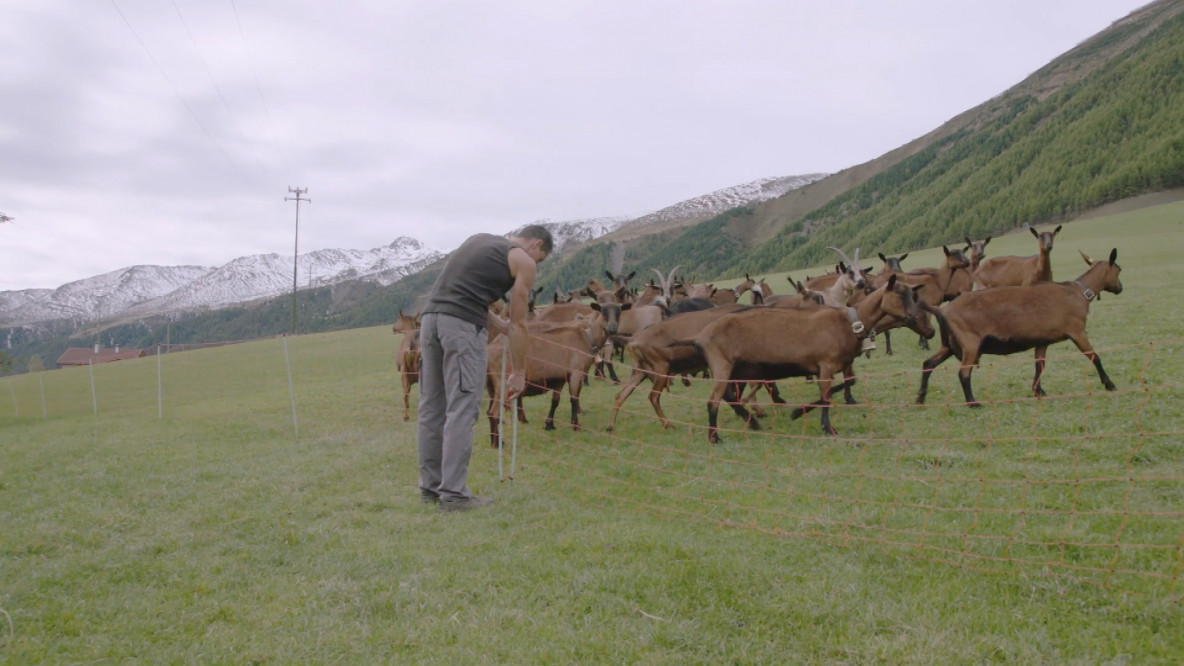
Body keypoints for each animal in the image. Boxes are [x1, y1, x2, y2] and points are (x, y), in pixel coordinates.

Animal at [918, 247, 1122, 405]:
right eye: (1119, 270)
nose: (1120, 288)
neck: (1079, 292)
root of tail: (943, 310)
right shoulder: (1077, 332)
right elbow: (1094, 357)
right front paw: (1110, 384)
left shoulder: (1042, 340)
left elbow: (1040, 365)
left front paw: (1039, 391)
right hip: (970, 343)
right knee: (963, 373)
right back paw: (973, 403)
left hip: (949, 344)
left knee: (928, 363)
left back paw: (920, 398)